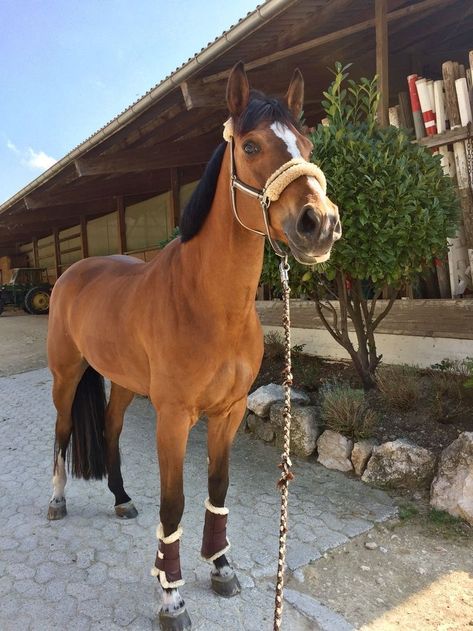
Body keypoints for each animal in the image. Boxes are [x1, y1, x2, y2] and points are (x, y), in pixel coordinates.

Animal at [47, 64, 340, 631]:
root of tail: (74, 271)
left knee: (111, 429)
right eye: (250, 145)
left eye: (308, 144)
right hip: (66, 377)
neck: (208, 304)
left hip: (124, 383)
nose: (319, 223)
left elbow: (217, 489)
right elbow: (174, 503)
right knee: (63, 432)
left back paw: (120, 499)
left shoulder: (227, 413)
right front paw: (171, 596)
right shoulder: (175, 417)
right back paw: (56, 502)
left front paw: (221, 567)